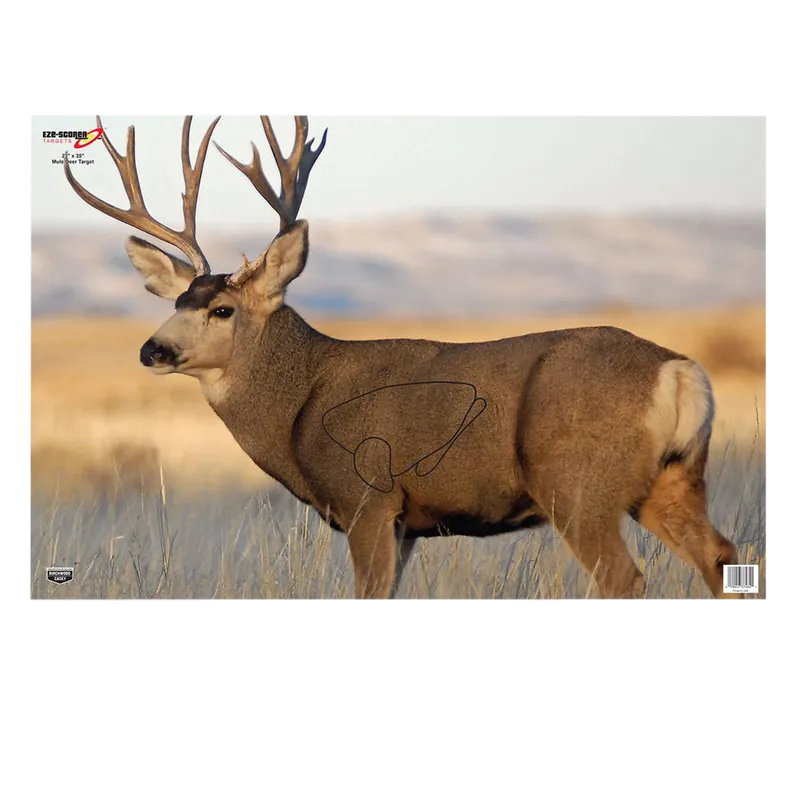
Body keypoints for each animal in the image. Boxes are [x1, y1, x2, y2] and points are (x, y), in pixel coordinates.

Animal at [63, 113, 745, 601]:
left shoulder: (369, 498)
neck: (300, 405)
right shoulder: (409, 524)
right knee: (722, 556)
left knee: (625, 577)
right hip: (671, 480)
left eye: (223, 310)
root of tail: (680, 372)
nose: (152, 349)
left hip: (578, 484)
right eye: (179, 298)